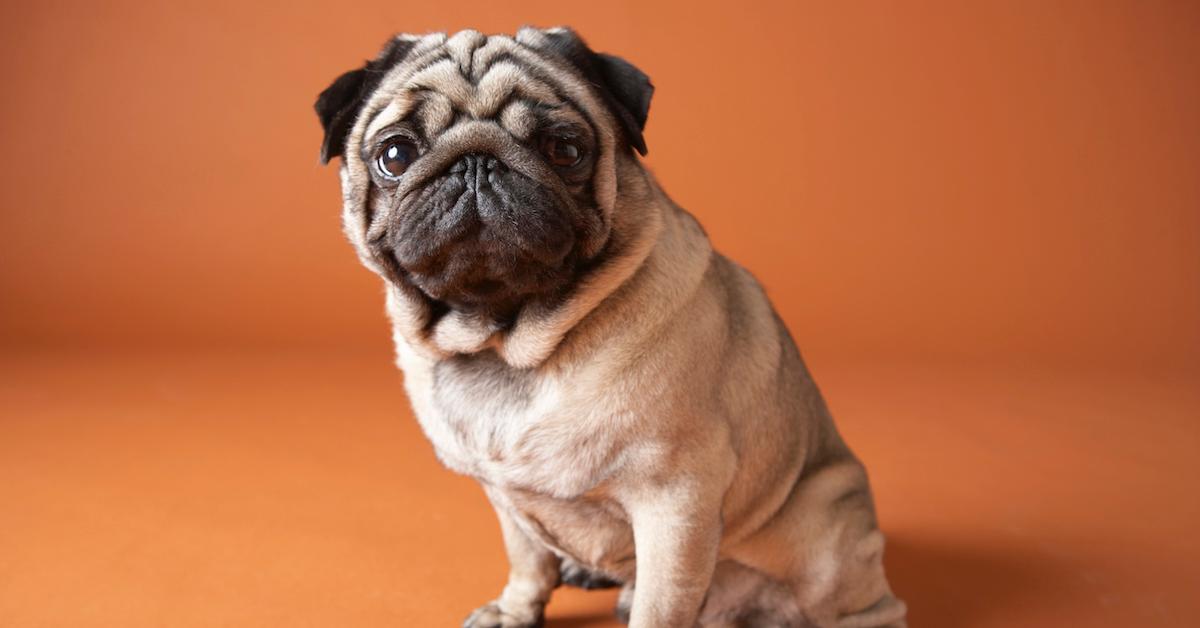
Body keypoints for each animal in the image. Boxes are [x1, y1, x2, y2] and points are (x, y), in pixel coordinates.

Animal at [314, 27, 902, 624]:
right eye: (395, 155)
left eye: (564, 149)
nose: (476, 161)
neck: (503, 341)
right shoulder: (506, 498)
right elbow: (526, 558)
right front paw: (516, 610)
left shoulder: (675, 503)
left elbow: (660, 606)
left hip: (825, 538)